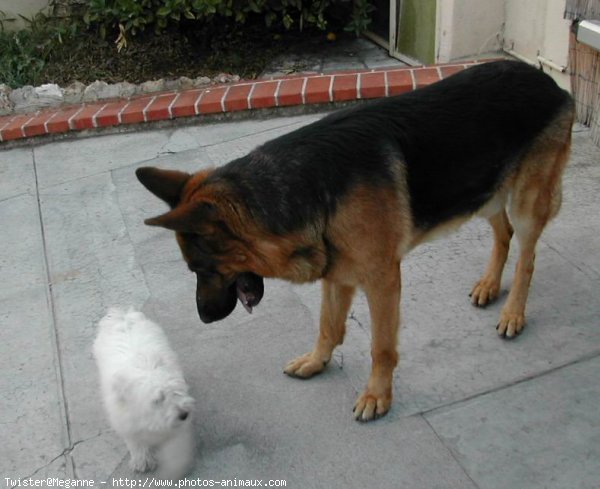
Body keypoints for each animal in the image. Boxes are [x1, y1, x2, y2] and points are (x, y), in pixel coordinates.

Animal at [94, 308, 196, 476]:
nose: (184, 414)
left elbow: (175, 446)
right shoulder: (128, 423)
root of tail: (123, 317)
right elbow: (135, 442)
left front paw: (175, 467)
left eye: (176, 392)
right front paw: (142, 460)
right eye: (157, 400)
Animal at [136, 61, 572, 420]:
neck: (310, 190)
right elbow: (328, 327)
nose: (204, 318)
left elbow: (381, 347)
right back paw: (489, 285)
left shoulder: (382, 281)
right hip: (483, 192)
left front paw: (377, 395)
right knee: (504, 232)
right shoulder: (338, 274)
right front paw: (317, 361)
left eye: (200, 268)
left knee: (527, 255)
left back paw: (513, 311)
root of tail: (546, 79)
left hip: (526, 201)